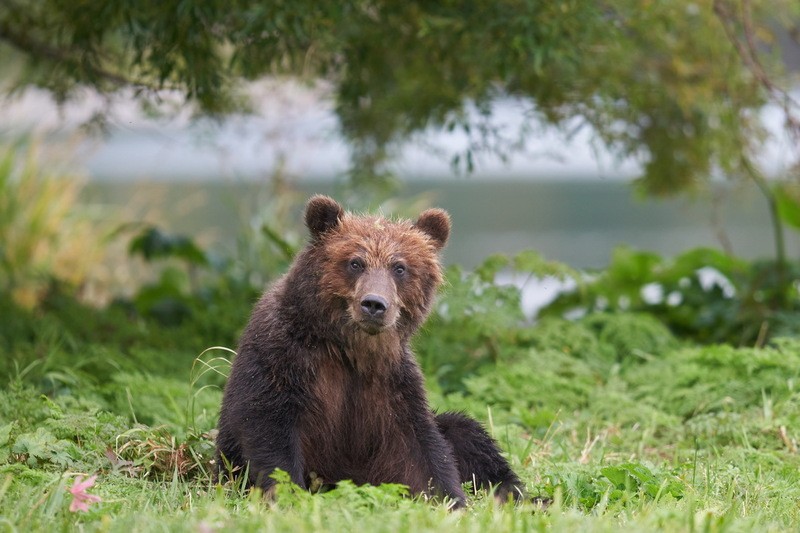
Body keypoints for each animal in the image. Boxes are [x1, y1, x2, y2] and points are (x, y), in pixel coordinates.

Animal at [216, 195, 520, 508]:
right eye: (355, 262)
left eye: (399, 267)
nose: (374, 304)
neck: (349, 348)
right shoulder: (282, 356)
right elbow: (269, 429)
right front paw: (289, 494)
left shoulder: (392, 383)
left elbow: (422, 450)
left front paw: (452, 500)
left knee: (465, 431)